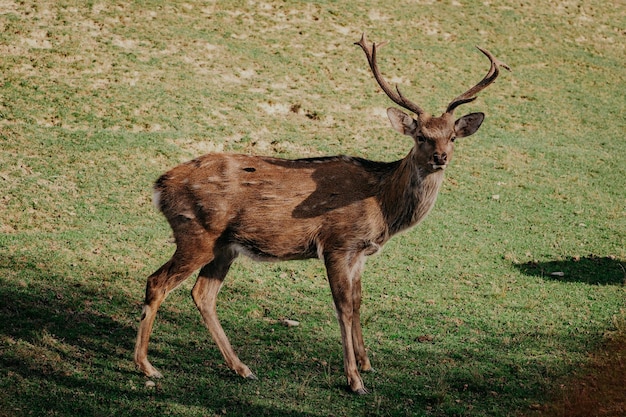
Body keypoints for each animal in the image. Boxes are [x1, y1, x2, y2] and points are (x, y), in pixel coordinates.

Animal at [132, 33, 508, 394]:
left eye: (452, 137)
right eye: (420, 137)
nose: (439, 157)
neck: (382, 204)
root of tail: (159, 185)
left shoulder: (361, 253)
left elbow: (358, 301)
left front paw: (367, 364)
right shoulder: (338, 243)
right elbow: (343, 307)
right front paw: (355, 380)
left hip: (224, 246)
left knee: (202, 295)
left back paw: (242, 368)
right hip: (197, 233)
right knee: (157, 282)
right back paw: (147, 366)